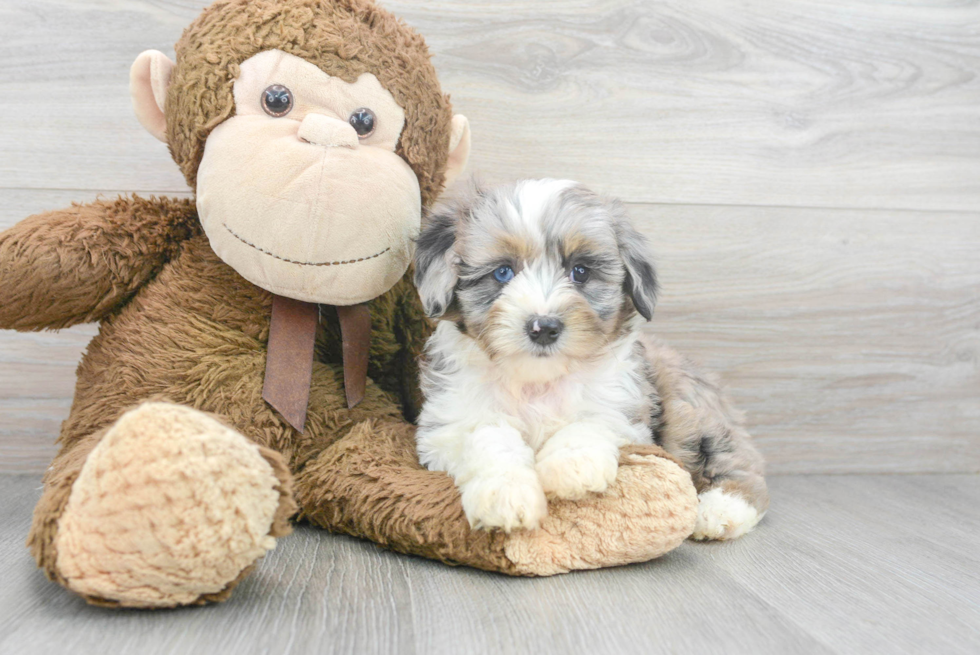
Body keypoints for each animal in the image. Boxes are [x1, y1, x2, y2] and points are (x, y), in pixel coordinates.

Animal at [412, 179, 764, 540]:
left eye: (580, 271)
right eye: (503, 272)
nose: (544, 327)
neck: (538, 380)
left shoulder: (623, 404)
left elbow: (592, 420)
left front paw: (571, 466)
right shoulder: (449, 425)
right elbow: (487, 436)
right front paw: (505, 495)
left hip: (689, 407)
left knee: (731, 457)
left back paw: (723, 509)